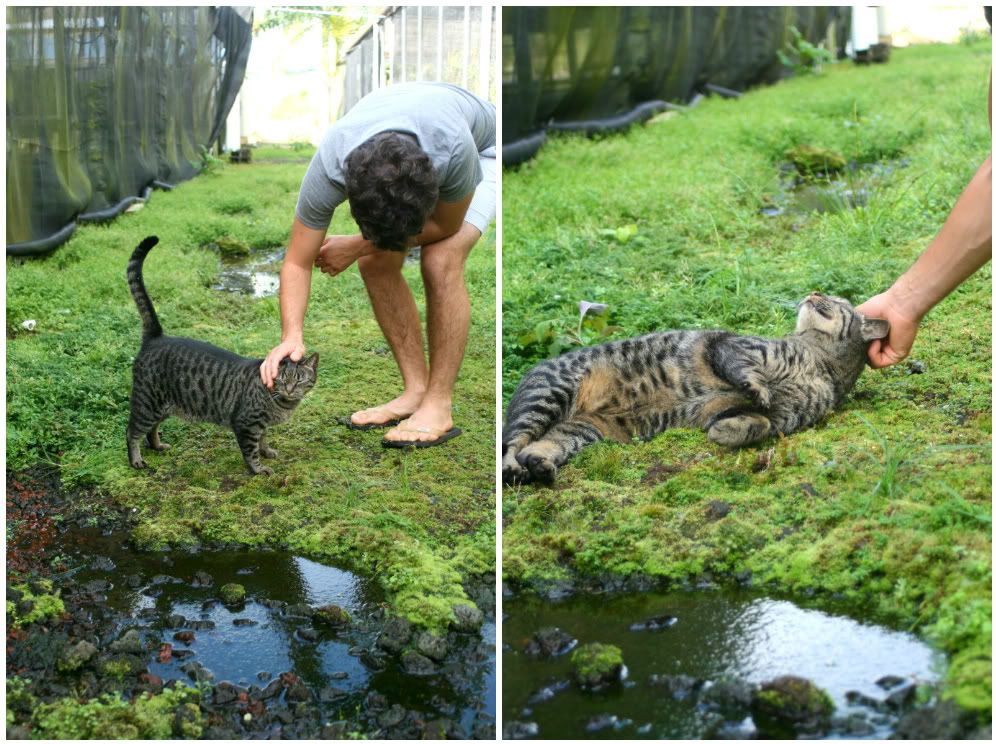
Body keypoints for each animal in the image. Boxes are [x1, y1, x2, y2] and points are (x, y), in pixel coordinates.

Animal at [126, 235, 318, 474]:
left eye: (299, 380)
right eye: (282, 379)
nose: (290, 389)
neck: (281, 402)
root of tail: (157, 337)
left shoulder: (261, 425)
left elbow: (263, 439)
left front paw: (267, 451)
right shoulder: (247, 423)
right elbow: (251, 451)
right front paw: (258, 469)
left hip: (163, 406)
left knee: (152, 429)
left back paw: (157, 445)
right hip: (147, 402)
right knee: (132, 431)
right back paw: (136, 460)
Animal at [502, 294, 892, 486]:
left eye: (835, 299)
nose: (813, 292)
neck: (818, 361)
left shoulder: (782, 416)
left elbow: (761, 422)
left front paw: (730, 431)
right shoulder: (732, 345)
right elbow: (746, 371)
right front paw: (758, 386)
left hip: (581, 431)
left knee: (543, 444)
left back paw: (540, 464)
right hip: (548, 395)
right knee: (512, 444)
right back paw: (515, 469)